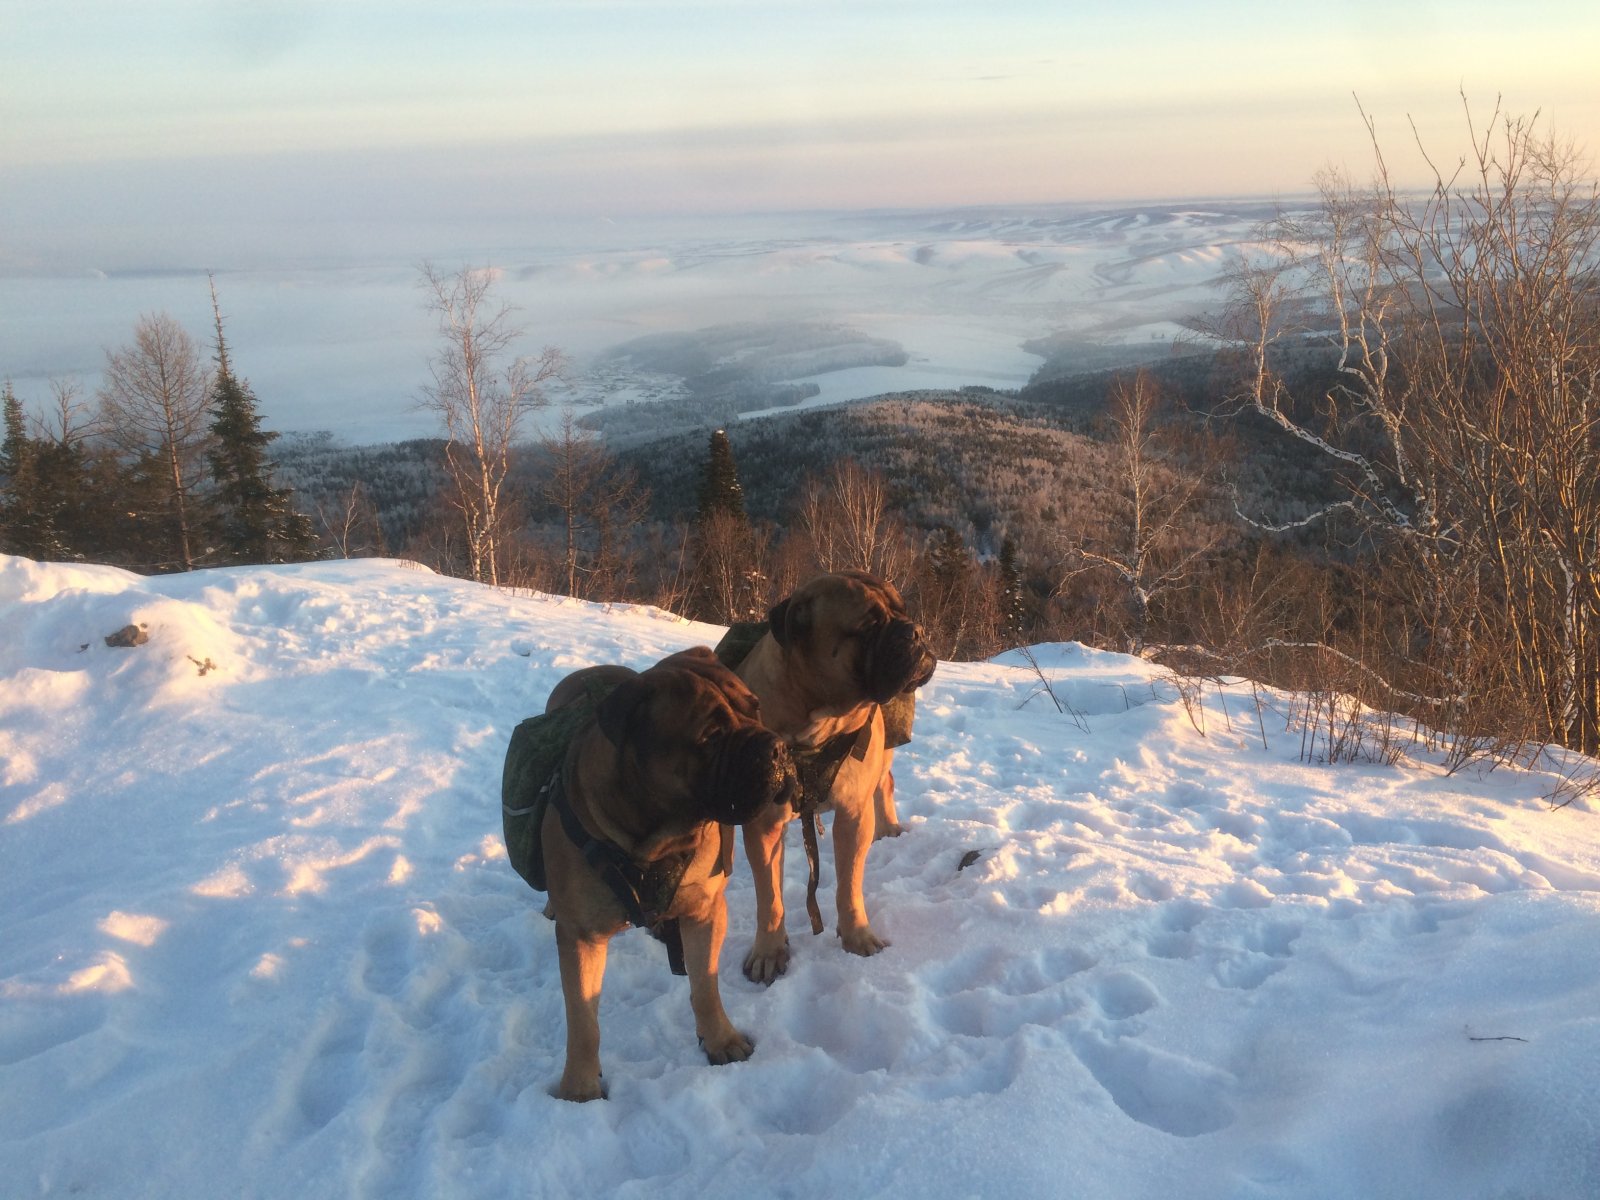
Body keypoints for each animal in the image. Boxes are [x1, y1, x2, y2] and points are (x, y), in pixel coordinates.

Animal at [509, 646, 799, 1101]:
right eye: (711, 735)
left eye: (756, 708)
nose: (780, 748)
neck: (658, 839)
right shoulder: (582, 937)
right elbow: (583, 1020)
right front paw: (579, 1091)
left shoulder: (704, 910)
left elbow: (705, 986)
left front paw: (721, 1041)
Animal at [731, 571, 935, 983]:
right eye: (869, 624)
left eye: (903, 610)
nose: (917, 630)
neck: (817, 718)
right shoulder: (764, 825)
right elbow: (769, 896)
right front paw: (768, 952)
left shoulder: (853, 813)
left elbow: (848, 884)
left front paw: (858, 936)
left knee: (884, 784)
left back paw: (889, 827)